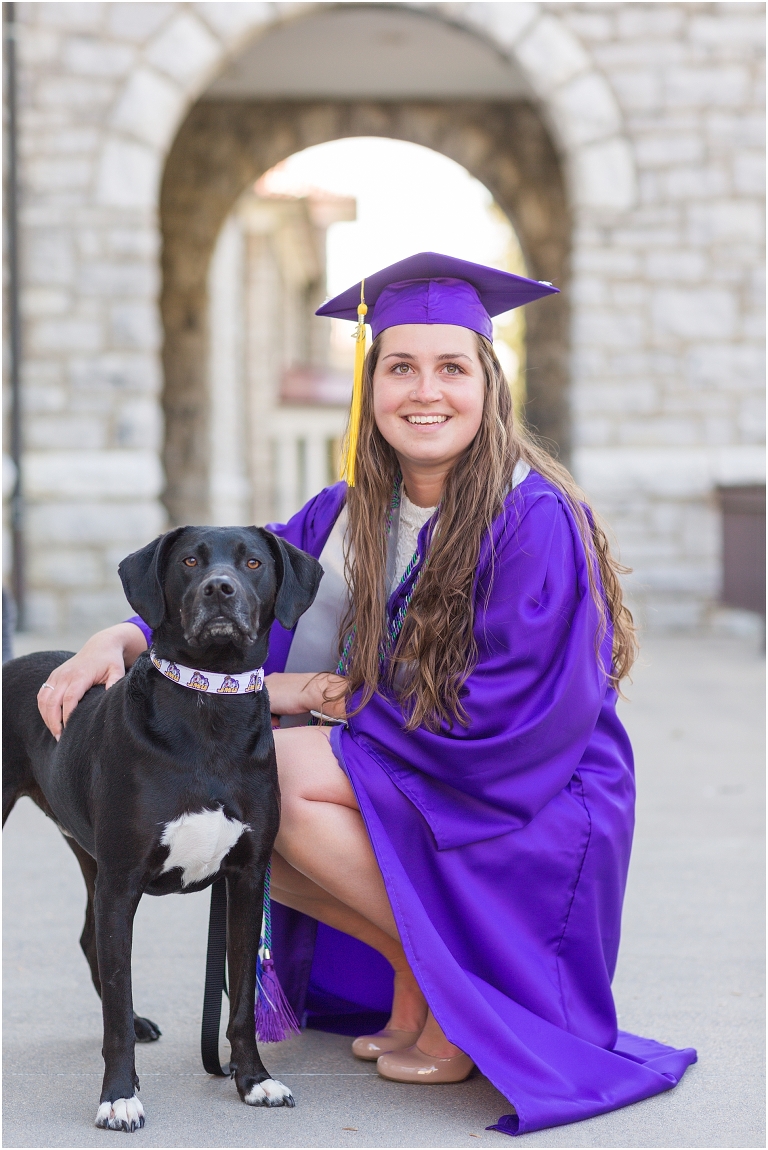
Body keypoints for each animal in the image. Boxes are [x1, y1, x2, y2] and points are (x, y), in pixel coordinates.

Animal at [2, 526, 321, 1131]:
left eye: (253, 562)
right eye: (190, 561)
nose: (220, 589)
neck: (209, 705)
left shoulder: (246, 879)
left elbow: (240, 1000)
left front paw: (254, 1080)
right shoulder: (123, 882)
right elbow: (116, 1005)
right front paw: (118, 1096)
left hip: (92, 858)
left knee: (91, 940)